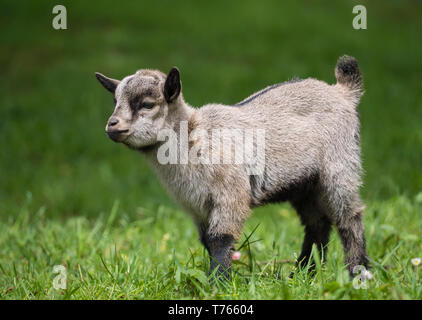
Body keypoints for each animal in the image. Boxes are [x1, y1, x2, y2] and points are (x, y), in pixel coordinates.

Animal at [95, 56, 370, 278]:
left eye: (147, 104)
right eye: (115, 101)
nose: (112, 125)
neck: (194, 137)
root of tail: (342, 91)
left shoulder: (231, 193)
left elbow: (220, 240)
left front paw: (217, 283)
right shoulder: (197, 206)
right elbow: (207, 241)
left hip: (339, 165)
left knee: (349, 217)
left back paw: (358, 273)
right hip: (304, 184)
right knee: (317, 224)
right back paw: (303, 274)